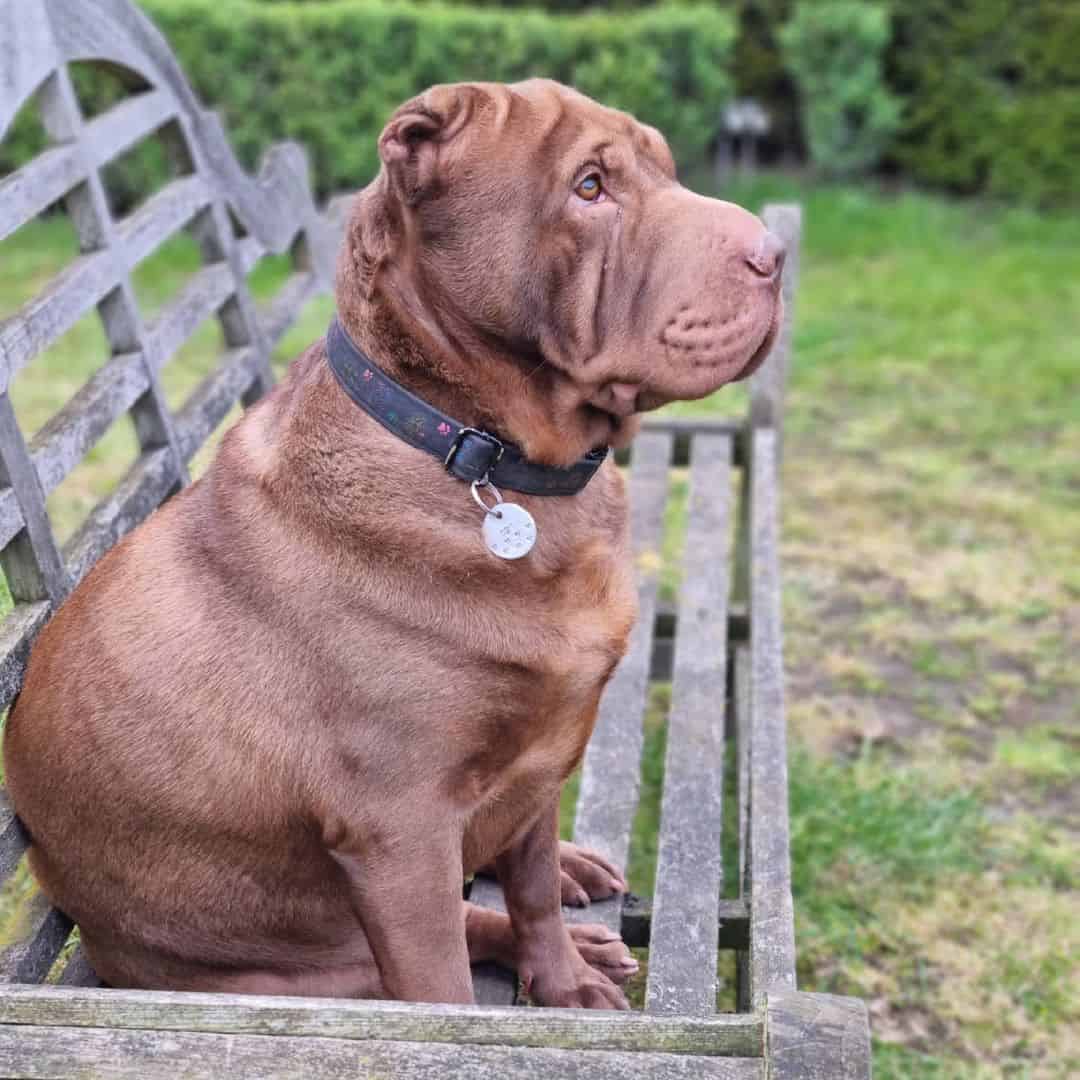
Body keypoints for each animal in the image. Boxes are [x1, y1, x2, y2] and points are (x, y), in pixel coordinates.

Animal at [4, 79, 781, 1006]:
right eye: (590, 187)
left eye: (664, 167)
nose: (775, 255)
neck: (482, 457)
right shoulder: (400, 832)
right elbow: (448, 993)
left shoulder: (542, 743)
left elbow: (528, 890)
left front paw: (560, 978)